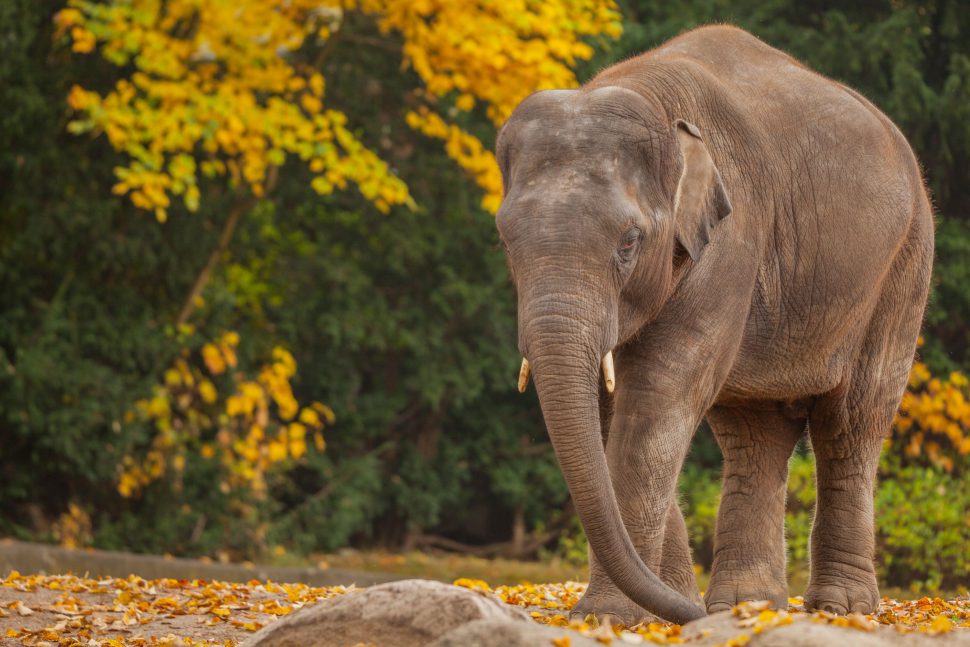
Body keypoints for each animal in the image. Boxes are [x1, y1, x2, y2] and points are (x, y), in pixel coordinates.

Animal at [496, 25, 932, 628]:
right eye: (504, 239)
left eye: (629, 242)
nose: (690, 612)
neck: (649, 97)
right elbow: (613, 408)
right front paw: (662, 607)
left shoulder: (732, 238)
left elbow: (658, 393)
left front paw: (610, 617)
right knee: (755, 431)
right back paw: (749, 607)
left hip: (903, 267)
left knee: (853, 421)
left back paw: (840, 609)